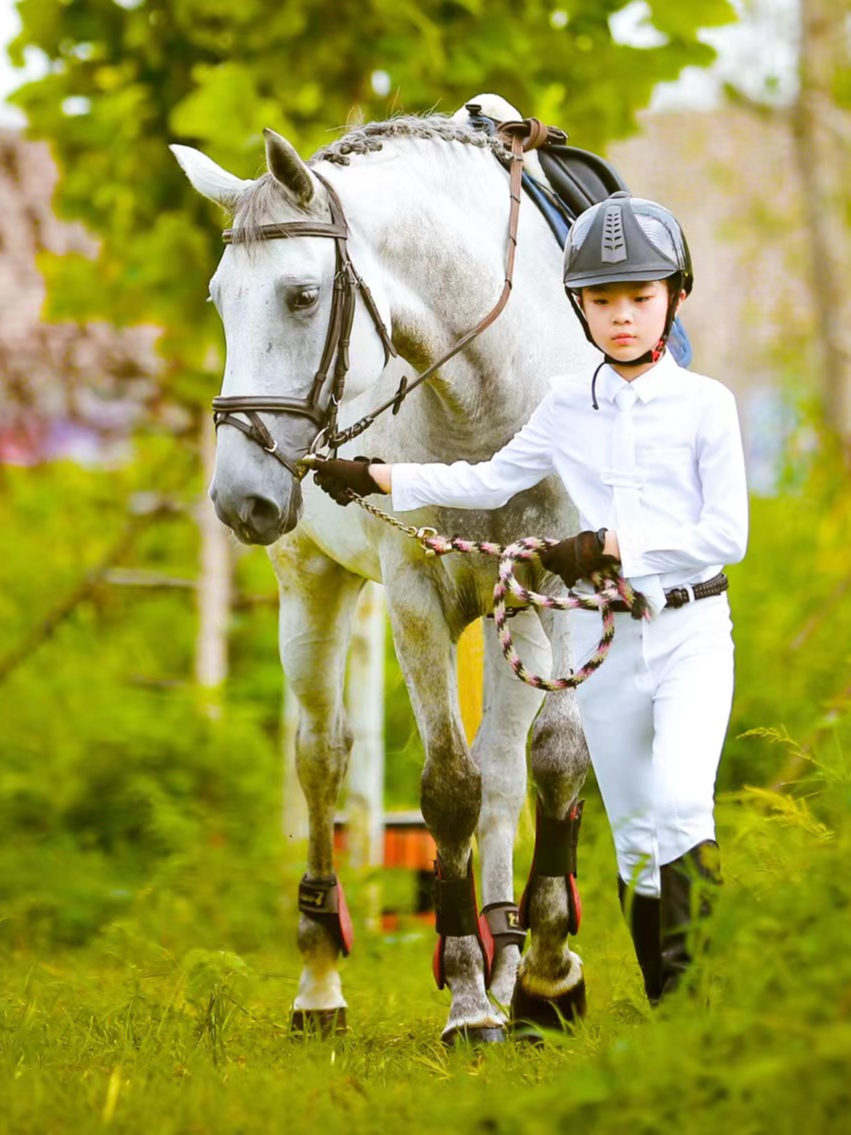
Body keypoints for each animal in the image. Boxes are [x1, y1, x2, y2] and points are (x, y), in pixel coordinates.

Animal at [173, 97, 599, 1044]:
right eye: (216, 298)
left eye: (301, 295)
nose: (238, 496)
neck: (490, 399)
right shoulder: (414, 598)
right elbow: (446, 788)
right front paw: (469, 998)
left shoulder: (561, 579)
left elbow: (549, 762)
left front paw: (545, 973)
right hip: (311, 587)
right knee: (322, 757)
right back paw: (320, 982)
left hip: (513, 615)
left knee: (505, 771)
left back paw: (511, 951)